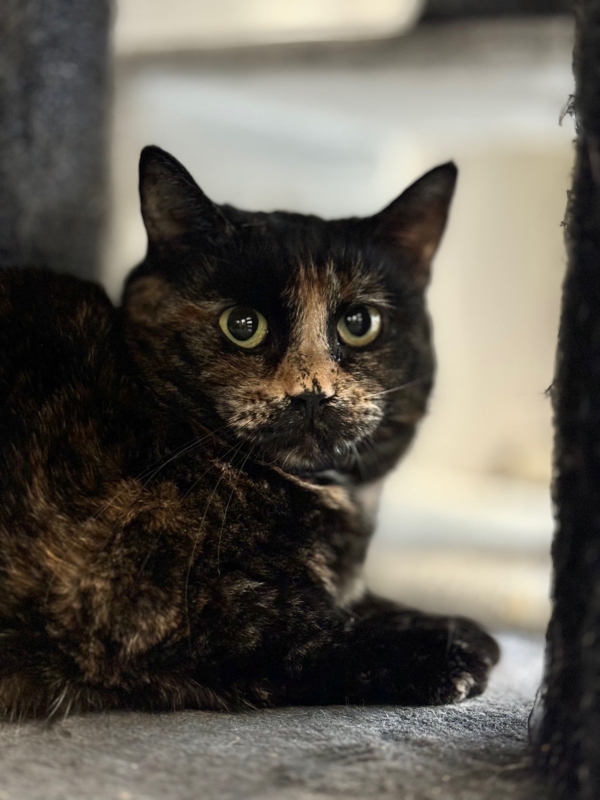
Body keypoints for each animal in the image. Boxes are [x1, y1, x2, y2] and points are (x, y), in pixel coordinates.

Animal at [0, 145, 499, 719]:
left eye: (359, 323)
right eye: (242, 325)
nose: (312, 393)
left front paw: (450, 622)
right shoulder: (135, 601)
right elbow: (302, 625)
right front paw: (449, 648)